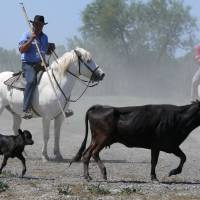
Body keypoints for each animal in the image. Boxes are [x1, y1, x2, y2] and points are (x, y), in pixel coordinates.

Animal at [70, 101, 200, 181]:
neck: (178, 118)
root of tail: (99, 107)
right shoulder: (163, 145)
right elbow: (158, 161)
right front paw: (166, 174)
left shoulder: (168, 146)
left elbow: (182, 157)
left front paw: (162, 174)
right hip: (103, 138)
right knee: (94, 153)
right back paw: (103, 173)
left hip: (95, 139)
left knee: (86, 154)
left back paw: (87, 176)